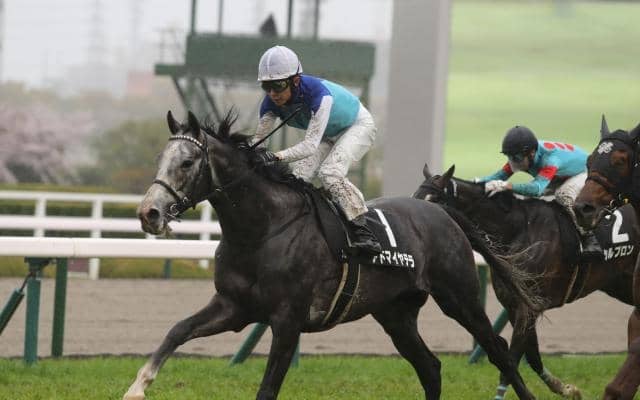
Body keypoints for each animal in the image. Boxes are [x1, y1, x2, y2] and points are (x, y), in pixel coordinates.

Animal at [122, 110, 541, 400]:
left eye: (187, 162)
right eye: (161, 158)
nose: (149, 213)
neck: (261, 230)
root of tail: (442, 212)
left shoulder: (287, 320)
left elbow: (267, 388)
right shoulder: (235, 307)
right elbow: (177, 331)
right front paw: (138, 387)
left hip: (460, 298)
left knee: (499, 352)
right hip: (396, 314)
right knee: (431, 366)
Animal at [414, 163, 639, 400]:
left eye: (431, 199)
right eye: (415, 196)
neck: (517, 230)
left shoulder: (528, 308)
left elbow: (511, 361)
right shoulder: (515, 305)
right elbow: (532, 357)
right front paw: (567, 389)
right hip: (621, 285)